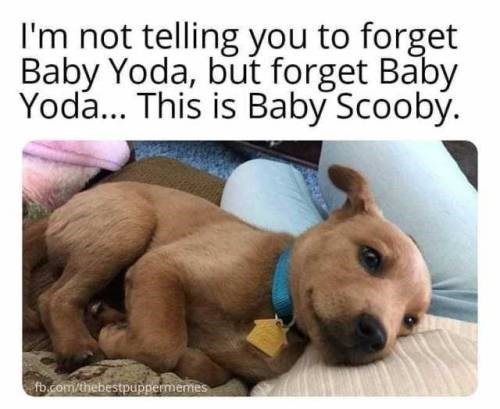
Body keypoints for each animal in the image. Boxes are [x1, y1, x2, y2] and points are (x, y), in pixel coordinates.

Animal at [23, 165, 431, 387]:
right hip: (128, 226)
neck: (273, 302)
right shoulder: (160, 266)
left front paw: (120, 328)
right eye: (371, 257)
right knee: (54, 297)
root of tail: (61, 210)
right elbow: (162, 342)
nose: (376, 336)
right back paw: (77, 342)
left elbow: (211, 370)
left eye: (409, 321)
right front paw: (114, 337)